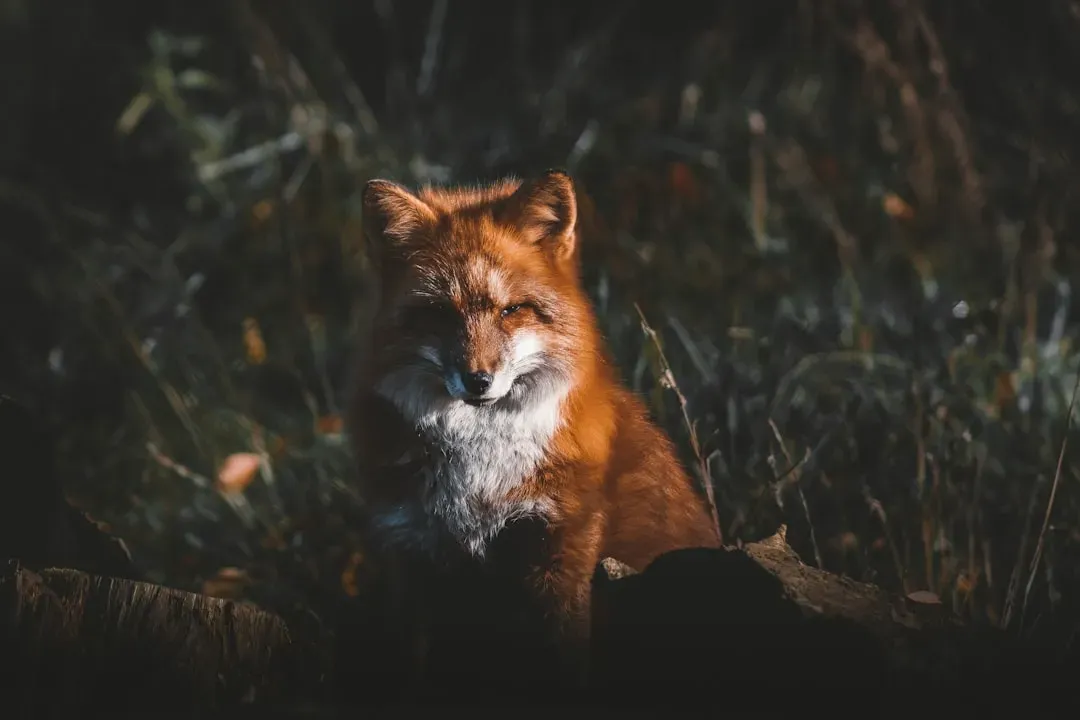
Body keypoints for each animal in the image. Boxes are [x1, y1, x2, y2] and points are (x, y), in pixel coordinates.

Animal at [345, 169, 721, 695]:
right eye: (440, 313)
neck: (481, 473)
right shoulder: (412, 556)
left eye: (512, 311)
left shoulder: (561, 550)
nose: (478, 380)